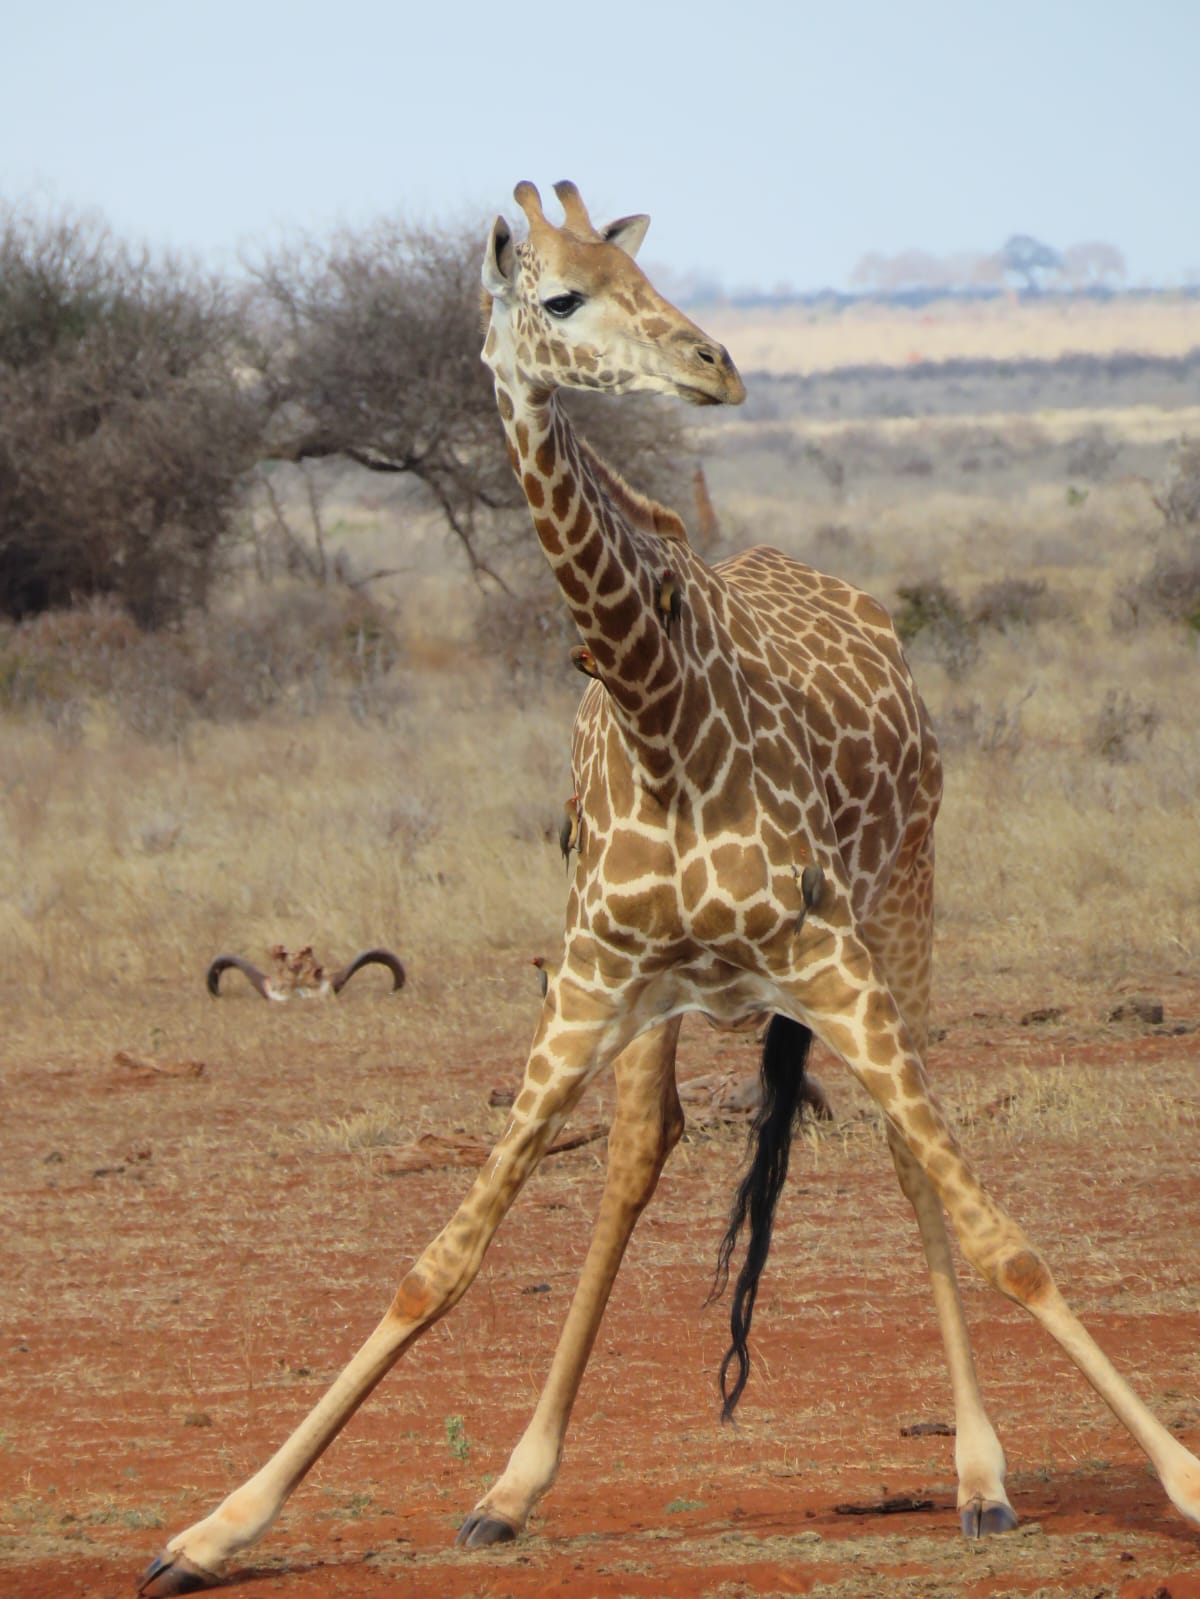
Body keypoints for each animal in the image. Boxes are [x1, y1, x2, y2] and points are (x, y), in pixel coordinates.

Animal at [139, 181, 1200, 1594]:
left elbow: (1001, 1235)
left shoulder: (829, 961)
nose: (717, 364)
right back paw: (511, 1488)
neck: (661, 716)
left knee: (911, 1157)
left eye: (644, 277)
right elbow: (440, 1261)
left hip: (904, 910)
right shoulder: (589, 978)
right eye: (560, 296)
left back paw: (979, 1477)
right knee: (640, 1157)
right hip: (663, 1005)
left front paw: (1181, 1481)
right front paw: (216, 1528)